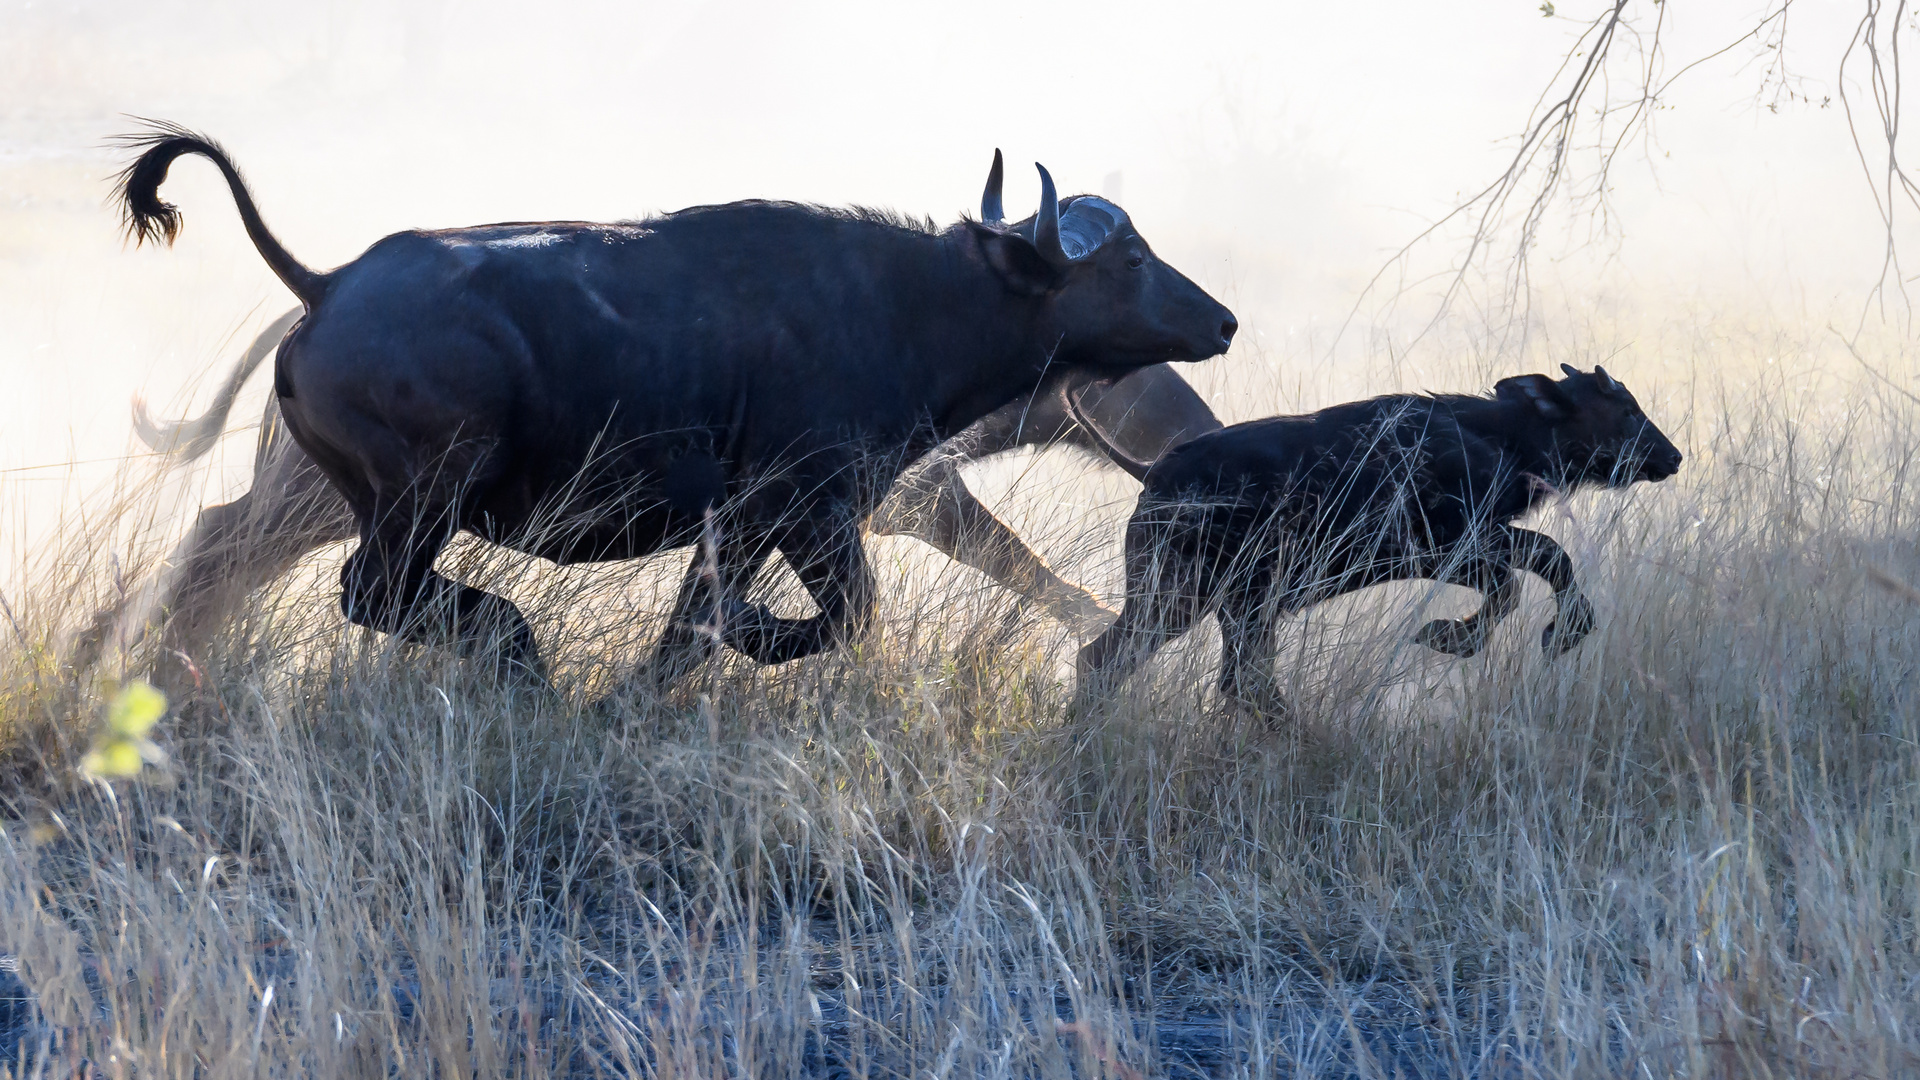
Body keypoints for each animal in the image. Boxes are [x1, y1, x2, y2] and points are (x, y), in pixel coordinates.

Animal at [120, 123, 1236, 680]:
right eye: (1131, 259)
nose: (1222, 321)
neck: (907, 304)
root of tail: (327, 285)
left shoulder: (756, 525)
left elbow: (697, 631)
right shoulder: (809, 509)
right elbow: (836, 617)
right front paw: (753, 636)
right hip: (409, 507)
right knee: (359, 590)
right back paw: (515, 650)